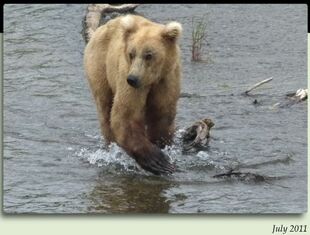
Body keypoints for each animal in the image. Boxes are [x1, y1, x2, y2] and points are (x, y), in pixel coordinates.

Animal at [83, 14, 183, 174]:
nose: (133, 79)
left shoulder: (167, 80)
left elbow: (161, 114)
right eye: (132, 53)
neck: (151, 80)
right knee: (105, 109)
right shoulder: (127, 75)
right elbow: (126, 114)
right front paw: (158, 160)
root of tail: (102, 27)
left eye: (149, 55)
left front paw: (162, 146)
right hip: (100, 66)